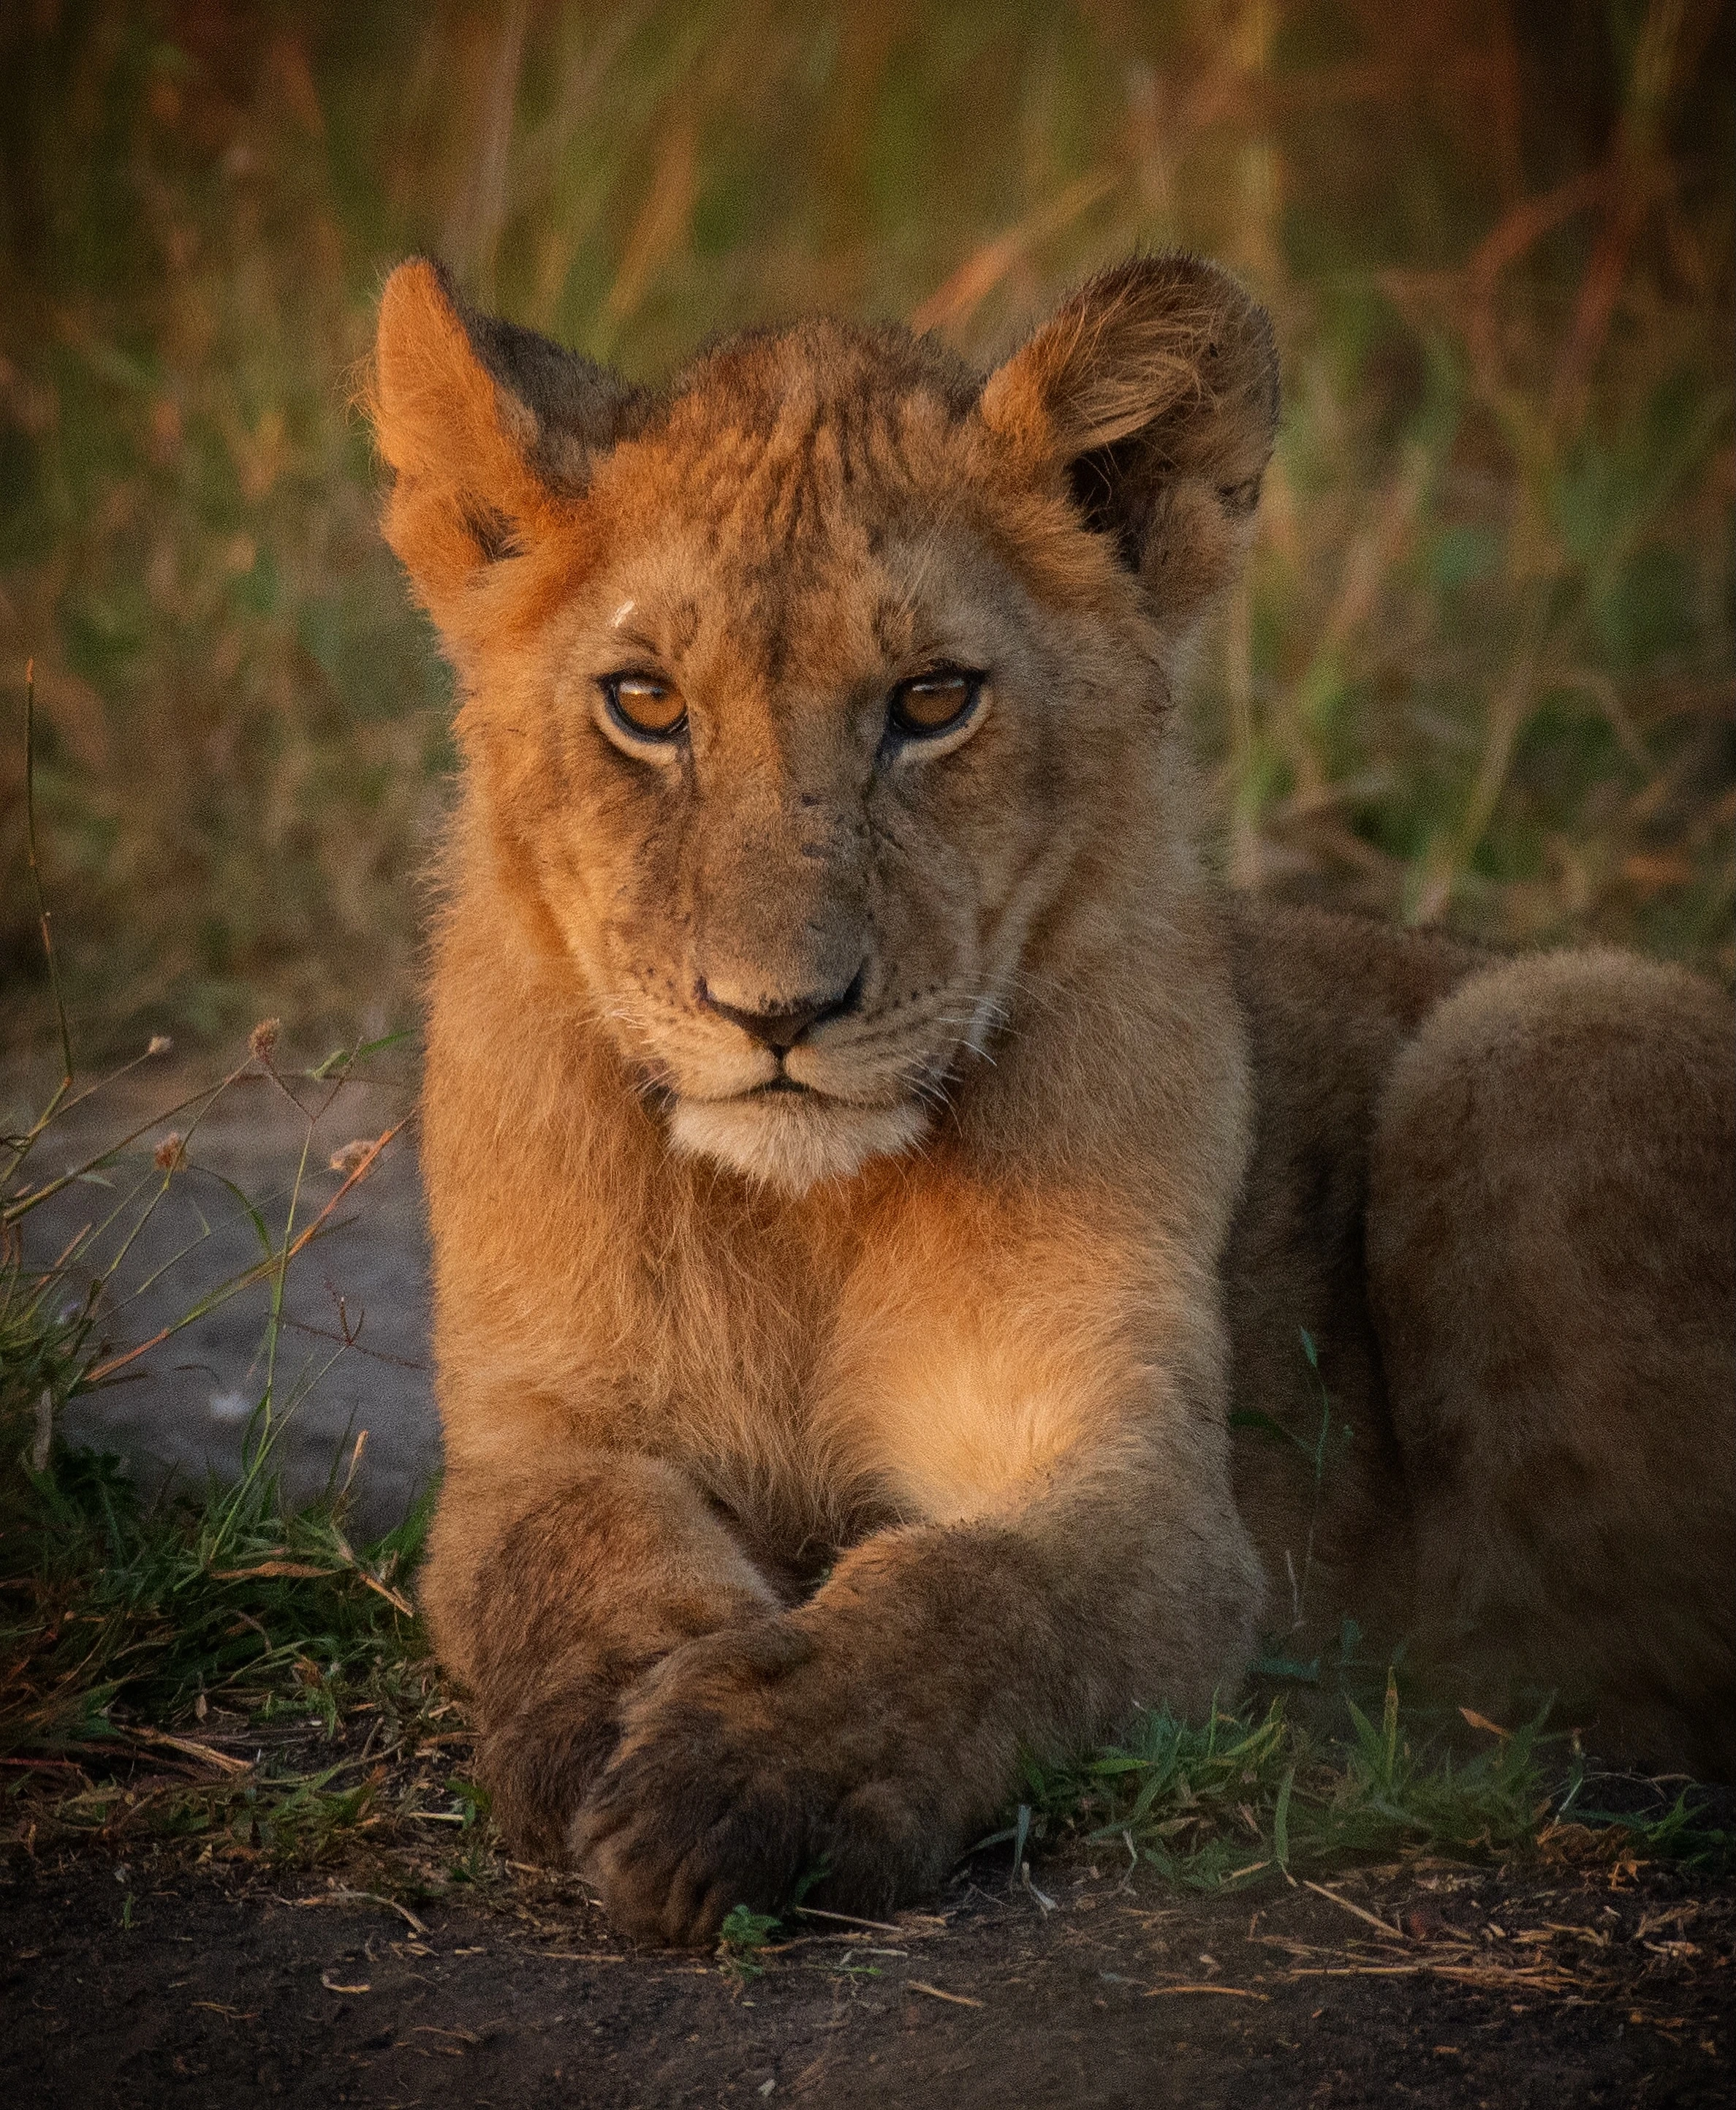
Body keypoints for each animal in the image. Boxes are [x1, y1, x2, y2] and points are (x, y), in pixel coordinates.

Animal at [368, 251, 1734, 1944]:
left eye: (932, 701)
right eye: (645, 704)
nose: (776, 1012)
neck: (801, 1223)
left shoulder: (1137, 1480)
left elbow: (972, 1594)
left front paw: (745, 1776)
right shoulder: (535, 1434)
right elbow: (570, 1549)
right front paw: (619, 1717)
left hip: (1532, 1025)